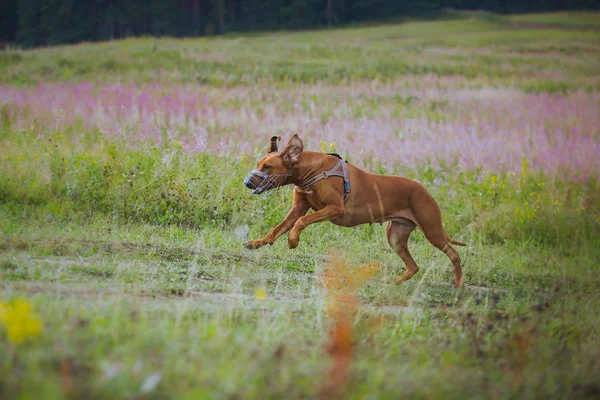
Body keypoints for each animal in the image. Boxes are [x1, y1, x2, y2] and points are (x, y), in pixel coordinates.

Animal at [241, 136, 466, 286]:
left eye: (267, 167)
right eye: (259, 164)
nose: (247, 183)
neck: (310, 170)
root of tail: (425, 191)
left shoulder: (335, 209)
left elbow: (301, 222)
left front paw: (293, 239)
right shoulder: (298, 208)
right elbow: (277, 229)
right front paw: (257, 242)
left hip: (432, 230)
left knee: (454, 254)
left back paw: (458, 282)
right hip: (395, 235)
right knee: (414, 266)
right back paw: (394, 282)